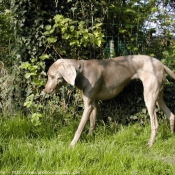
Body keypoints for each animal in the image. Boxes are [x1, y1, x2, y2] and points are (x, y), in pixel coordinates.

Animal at [44, 54, 175, 146]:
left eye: (51, 76)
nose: (45, 90)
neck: (81, 71)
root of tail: (161, 64)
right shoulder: (93, 103)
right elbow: (92, 123)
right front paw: (90, 137)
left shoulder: (88, 106)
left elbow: (79, 128)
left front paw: (72, 145)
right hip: (158, 96)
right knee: (171, 115)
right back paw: (171, 136)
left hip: (149, 96)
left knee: (155, 124)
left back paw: (150, 144)